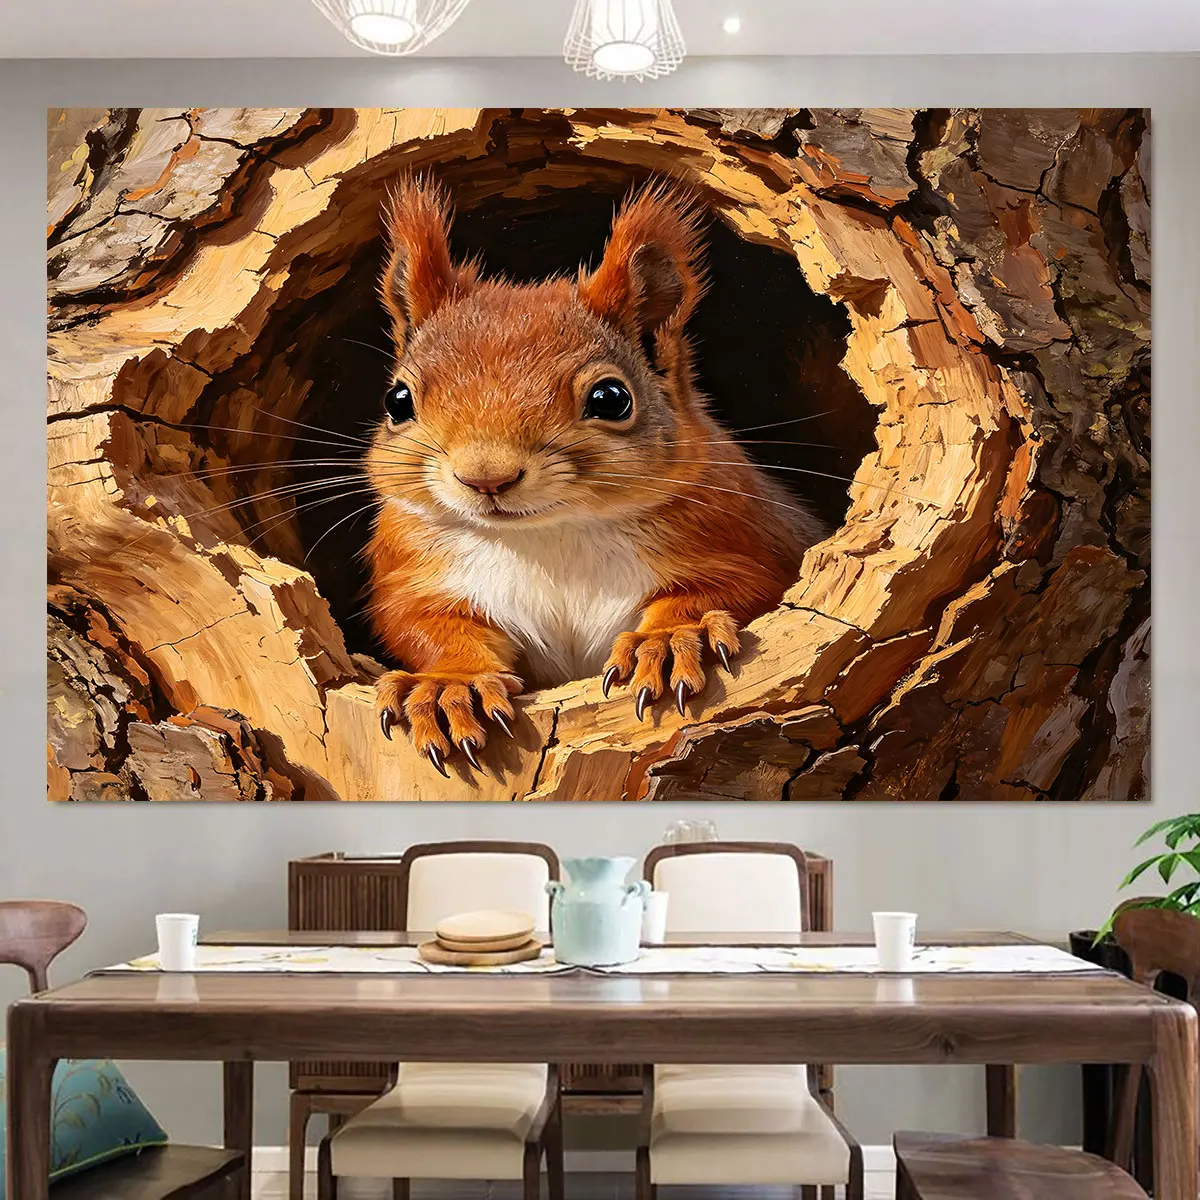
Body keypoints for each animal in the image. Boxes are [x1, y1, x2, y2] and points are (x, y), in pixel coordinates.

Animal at [364, 177, 827, 776]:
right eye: (397, 401)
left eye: (612, 398)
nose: (486, 477)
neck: (550, 537)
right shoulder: (413, 569)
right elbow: (422, 624)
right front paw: (449, 686)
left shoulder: (750, 538)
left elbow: (734, 587)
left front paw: (675, 638)